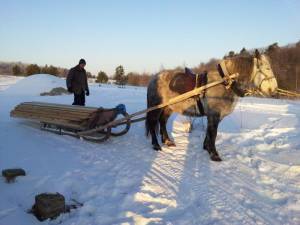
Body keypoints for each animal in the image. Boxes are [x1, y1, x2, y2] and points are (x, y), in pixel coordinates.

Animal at [146, 50, 278, 161]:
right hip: (156, 107)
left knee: (162, 122)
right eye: (267, 68)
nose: (274, 90)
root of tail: (154, 78)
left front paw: (207, 148)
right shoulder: (214, 115)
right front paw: (214, 154)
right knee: (153, 124)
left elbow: (209, 132)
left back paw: (167, 141)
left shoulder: (214, 116)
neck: (224, 82)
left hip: (168, 108)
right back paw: (156, 145)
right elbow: (213, 133)